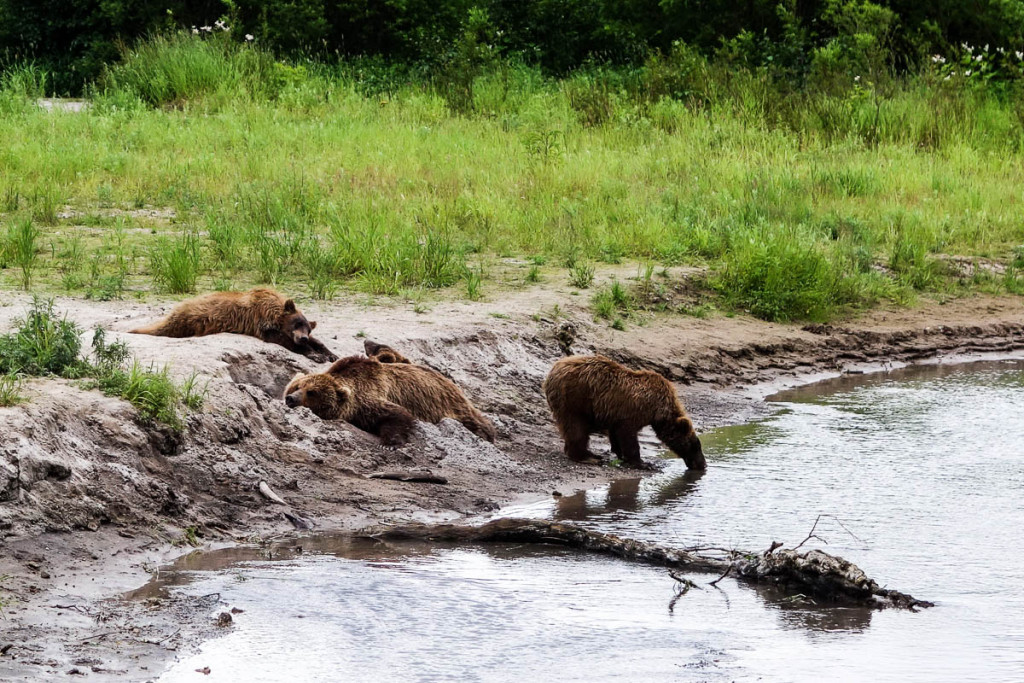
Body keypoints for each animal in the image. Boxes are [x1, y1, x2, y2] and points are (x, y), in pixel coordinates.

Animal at [130, 286, 337, 362]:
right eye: (296, 323)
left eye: (307, 328)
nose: (303, 338)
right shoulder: (261, 322)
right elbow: (281, 339)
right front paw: (314, 354)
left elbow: (319, 342)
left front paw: (329, 353)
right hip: (189, 319)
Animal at [284, 356, 495, 446]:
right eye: (296, 387)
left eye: (311, 392)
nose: (291, 398)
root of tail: (454, 384)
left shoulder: (370, 397)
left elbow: (396, 413)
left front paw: (389, 442)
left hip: (452, 405)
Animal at [544, 352, 704, 471]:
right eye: (695, 445)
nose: (702, 464)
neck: (659, 410)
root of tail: (553, 369)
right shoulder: (634, 412)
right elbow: (628, 436)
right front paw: (643, 463)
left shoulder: (615, 414)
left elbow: (616, 434)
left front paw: (620, 454)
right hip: (575, 399)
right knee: (576, 427)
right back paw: (588, 458)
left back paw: (591, 454)